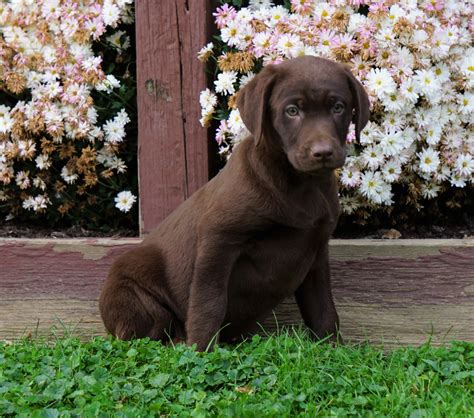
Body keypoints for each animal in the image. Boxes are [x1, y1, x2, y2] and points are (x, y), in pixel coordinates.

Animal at [98, 55, 368, 350]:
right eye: (292, 111)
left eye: (338, 107)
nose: (323, 153)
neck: (300, 183)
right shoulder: (218, 241)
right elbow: (209, 302)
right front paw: (202, 349)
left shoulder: (316, 251)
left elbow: (322, 307)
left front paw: (333, 347)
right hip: (129, 287)